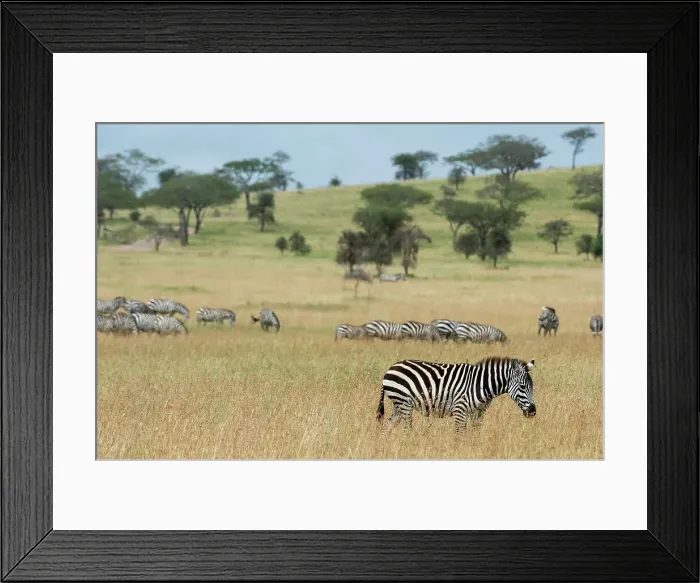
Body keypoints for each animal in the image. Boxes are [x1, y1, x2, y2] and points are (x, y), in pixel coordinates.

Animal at [376, 356, 536, 432]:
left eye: (532, 387)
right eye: (522, 387)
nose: (533, 412)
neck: (481, 384)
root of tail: (389, 369)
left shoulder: (478, 413)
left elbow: (475, 434)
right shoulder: (460, 409)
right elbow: (461, 435)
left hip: (398, 405)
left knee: (386, 427)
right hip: (404, 404)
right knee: (406, 429)